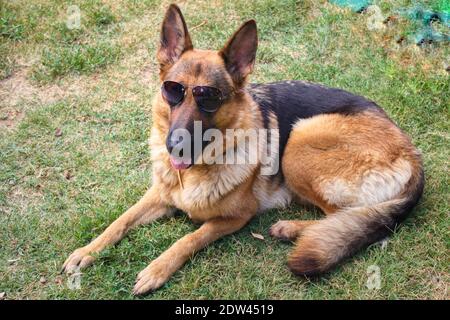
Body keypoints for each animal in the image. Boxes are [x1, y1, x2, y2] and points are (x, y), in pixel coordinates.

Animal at [61, 4, 424, 296]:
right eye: (172, 91)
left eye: (209, 98)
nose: (175, 146)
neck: (195, 173)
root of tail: (413, 155)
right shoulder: (160, 194)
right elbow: (120, 221)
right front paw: (88, 250)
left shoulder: (235, 218)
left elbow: (188, 239)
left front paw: (156, 269)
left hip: (299, 143)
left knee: (345, 217)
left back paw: (290, 228)